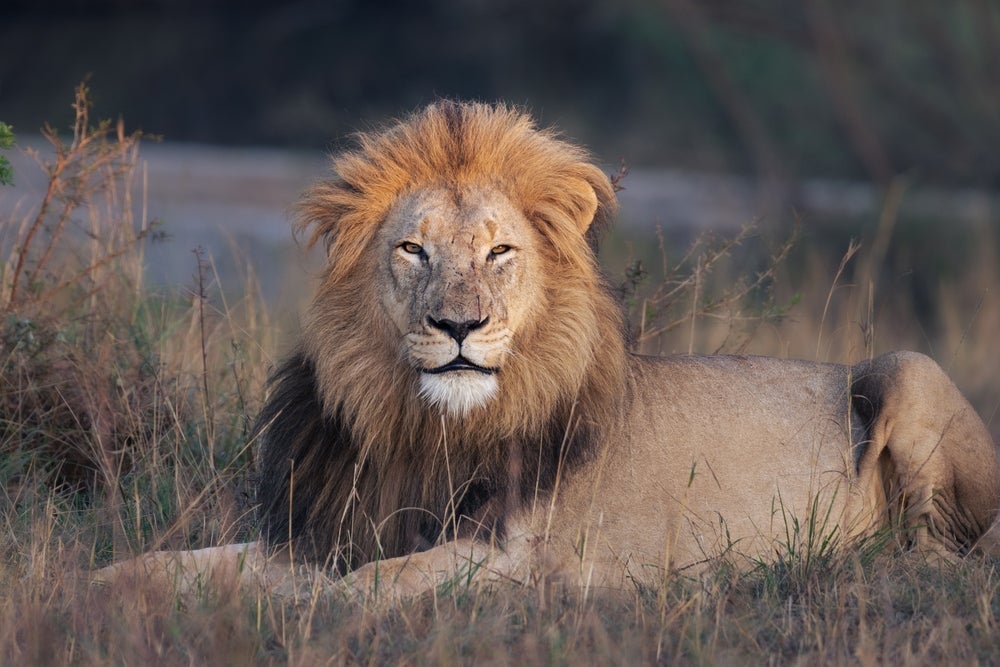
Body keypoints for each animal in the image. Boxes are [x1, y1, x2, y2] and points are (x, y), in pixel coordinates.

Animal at [96, 101, 1000, 601]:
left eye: (500, 251)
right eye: (413, 250)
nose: (458, 326)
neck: (422, 430)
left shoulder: (521, 555)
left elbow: (373, 584)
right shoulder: (330, 529)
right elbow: (180, 562)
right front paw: (88, 588)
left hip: (909, 371)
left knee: (951, 553)